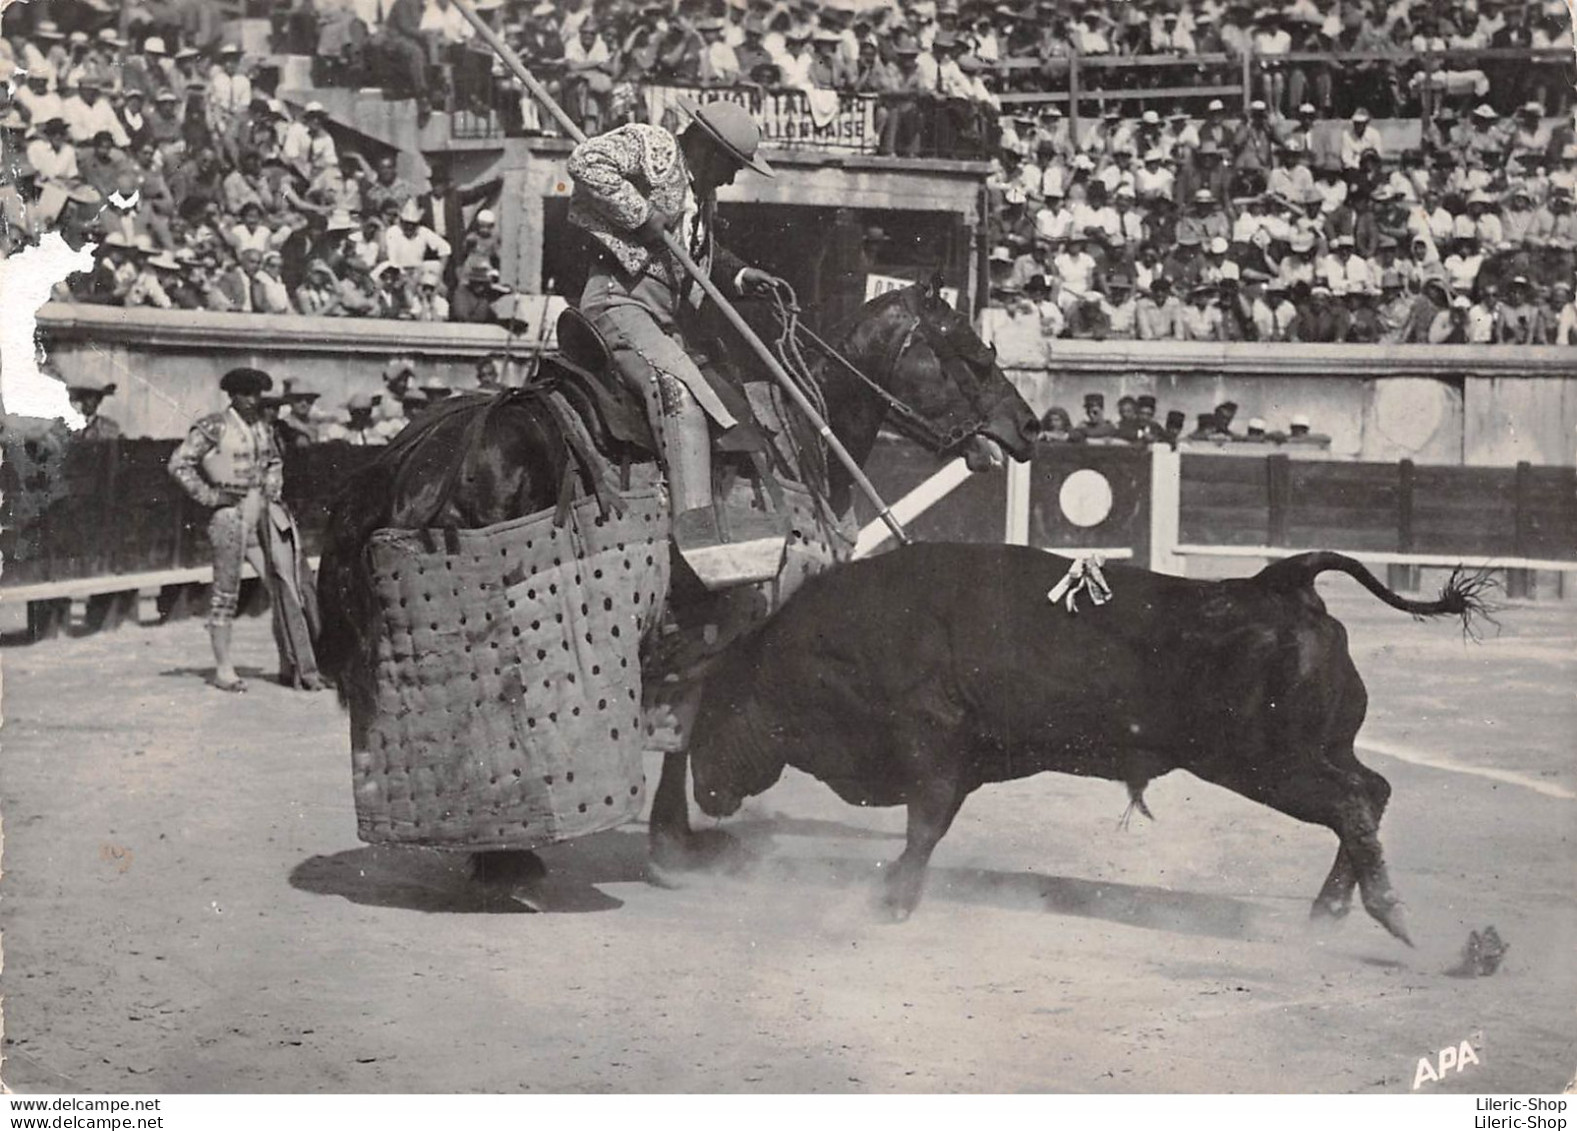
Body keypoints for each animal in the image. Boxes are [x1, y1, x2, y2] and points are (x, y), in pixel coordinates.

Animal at [313, 282, 1040, 902]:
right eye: (975, 357)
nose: (1031, 428)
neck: (800, 431)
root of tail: (410, 456)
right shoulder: (722, 629)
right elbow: (686, 729)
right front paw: (677, 845)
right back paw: (508, 863)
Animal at [687, 542, 1488, 940]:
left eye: (714, 708)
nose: (702, 787)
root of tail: (1279, 581)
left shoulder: (931, 747)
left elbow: (922, 828)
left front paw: (891, 903)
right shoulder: (959, 762)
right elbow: (930, 827)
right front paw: (893, 896)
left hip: (1266, 762)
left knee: (1351, 801)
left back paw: (1389, 916)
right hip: (1313, 749)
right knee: (1370, 792)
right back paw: (1328, 915)